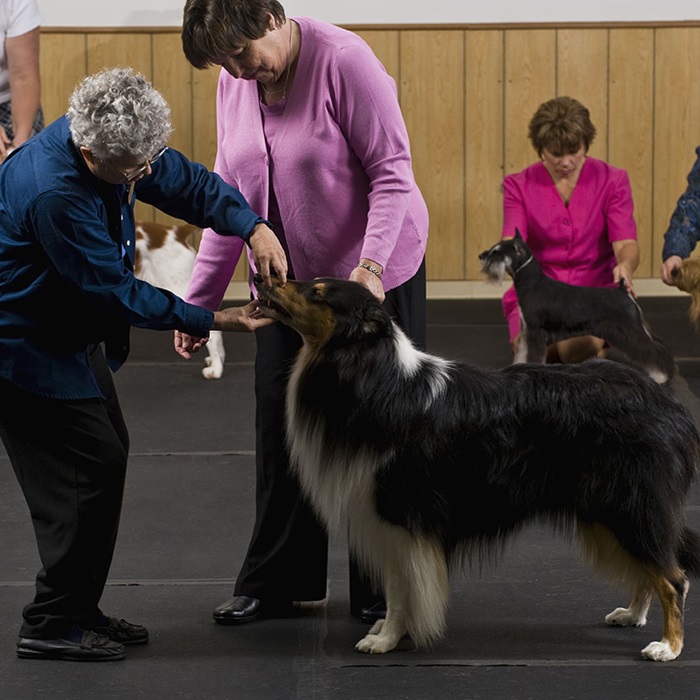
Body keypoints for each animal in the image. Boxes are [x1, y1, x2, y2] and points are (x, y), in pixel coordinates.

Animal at [478, 230, 676, 382]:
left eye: (497, 252)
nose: (481, 255)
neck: (532, 283)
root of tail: (623, 290)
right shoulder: (527, 331)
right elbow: (522, 353)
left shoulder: (536, 333)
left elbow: (534, 357)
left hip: (630, 330)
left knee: (653, 350)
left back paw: (661, 376)